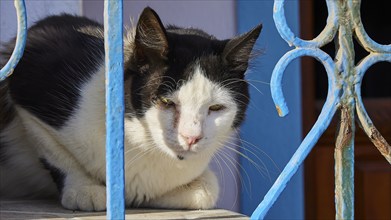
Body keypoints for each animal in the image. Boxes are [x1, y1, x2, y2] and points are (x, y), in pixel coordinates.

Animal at [0, 6, 264, 210]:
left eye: (216, 108)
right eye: (166, 102)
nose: (191, 138)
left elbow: (207, 191)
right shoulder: (30, 67)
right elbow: (53, 151)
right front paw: (83, 188)